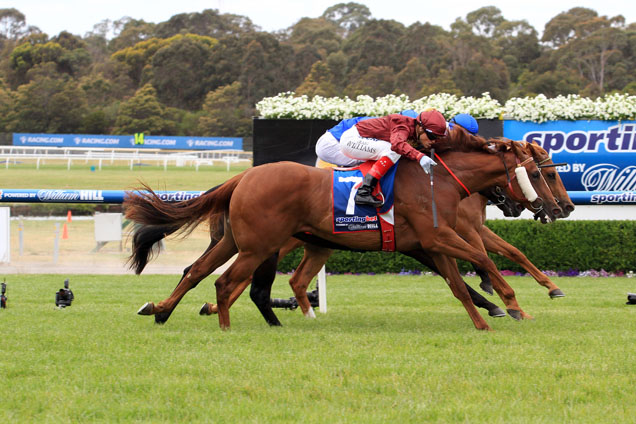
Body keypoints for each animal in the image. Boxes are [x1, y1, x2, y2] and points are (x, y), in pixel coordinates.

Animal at [125, 132, 560, 332]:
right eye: (542, 173)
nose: (558, 208)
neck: (437, 180)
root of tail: (244, 176)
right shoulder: (439, 238)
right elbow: (485, 258)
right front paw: (515, 304)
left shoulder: (434, 243)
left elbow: (459, 285)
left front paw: (484, 321)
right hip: (260, 246)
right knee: (227, 282)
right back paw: (227, 326)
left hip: (241, 241)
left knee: (197, 272)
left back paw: (161, 311)